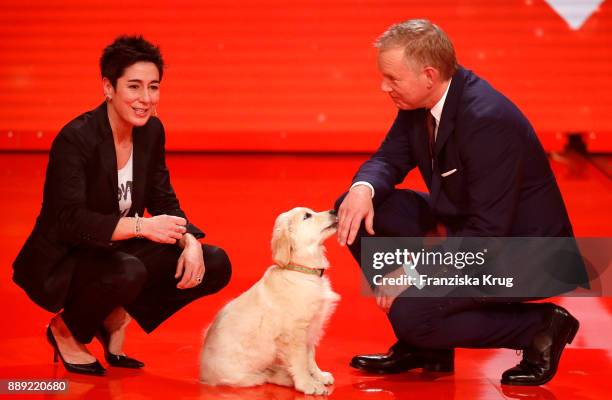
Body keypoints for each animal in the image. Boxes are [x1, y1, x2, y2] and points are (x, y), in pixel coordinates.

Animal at [202, 208, 342, 396]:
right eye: (307, 216)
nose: (334, 210)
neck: (301, 269)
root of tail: (203, 375)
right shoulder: (293, 333)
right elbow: (300, 360)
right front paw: (308, 383)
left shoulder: (310, 327)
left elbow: (310, 356)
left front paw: (318, 375)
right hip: (243, 375)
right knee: (264, 375)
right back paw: (287, 377)